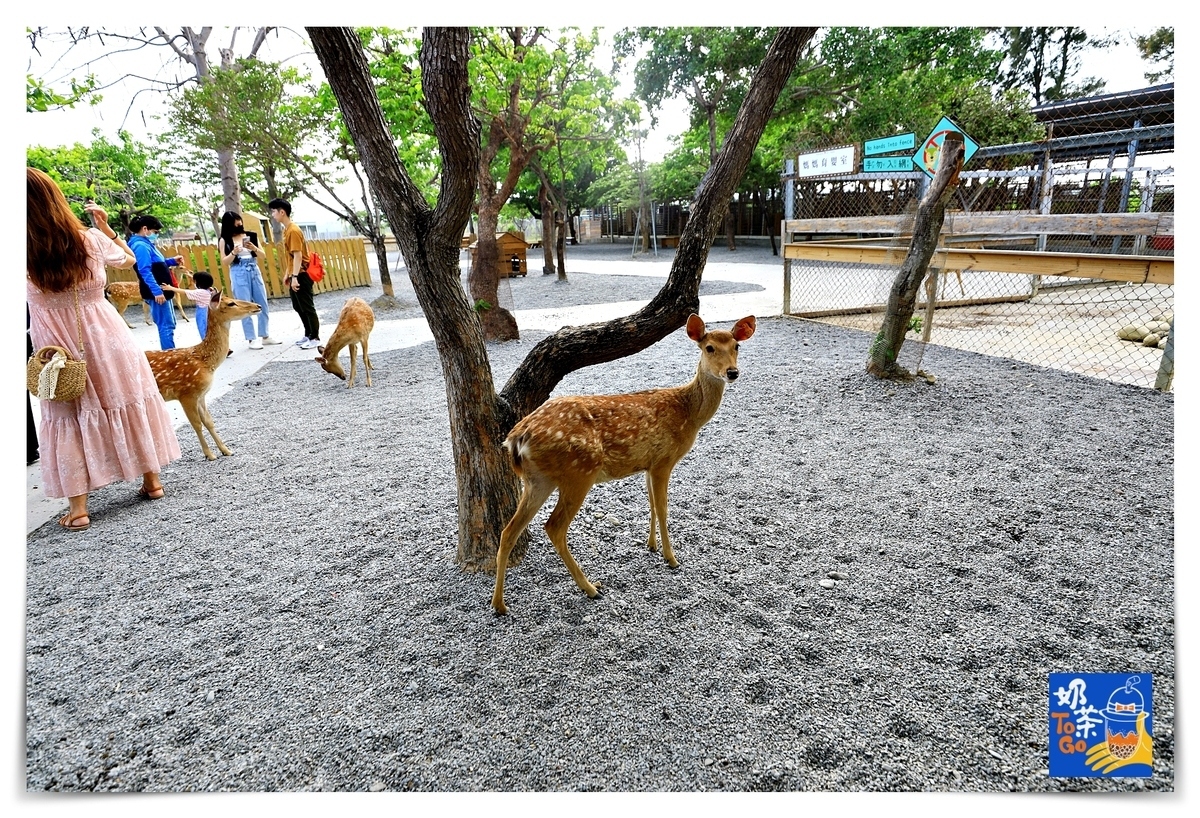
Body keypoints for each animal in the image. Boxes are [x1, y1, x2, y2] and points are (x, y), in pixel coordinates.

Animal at [145, 290, 262, 458]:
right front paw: (209, 454)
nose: (258, 306)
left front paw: (226, 450)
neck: (205, 362)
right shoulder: (186, 393)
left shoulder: (201, 395)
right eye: (231, 303)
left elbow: (209, 421)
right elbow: (196, 424)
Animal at [489, 311, 753, 611]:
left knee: (509, 531)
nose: (732, 372)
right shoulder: (664, 460)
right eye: (709, 348)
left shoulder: (648, 463)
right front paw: (671, 558)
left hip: (538, 480)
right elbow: (663, 508)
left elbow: (651, 505)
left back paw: (499, 605)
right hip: (579, 471)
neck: (687, 412)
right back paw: (591, 588)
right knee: (553, 526)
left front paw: (651, 546)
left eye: (736, 346)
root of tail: (516, 438)